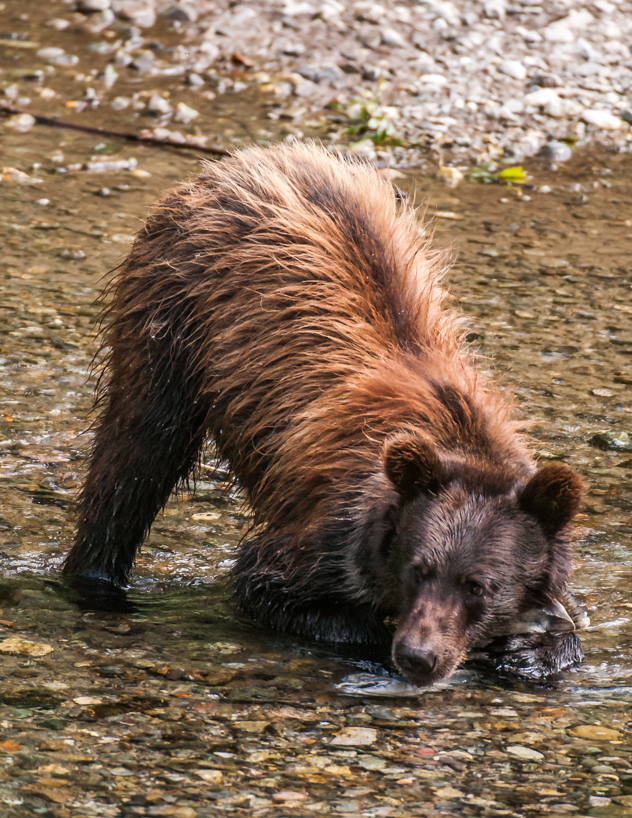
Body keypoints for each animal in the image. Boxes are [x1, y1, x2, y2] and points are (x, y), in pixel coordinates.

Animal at [63, 142, 584, 686]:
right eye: (418, 568)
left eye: (478, 585)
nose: (418, 656)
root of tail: (244, 159)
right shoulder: (331, 528)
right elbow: (269, 583)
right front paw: (370, 632)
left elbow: (564, 622)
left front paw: (530, 649)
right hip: (171, 318)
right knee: (137, 456)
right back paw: (96, 577)